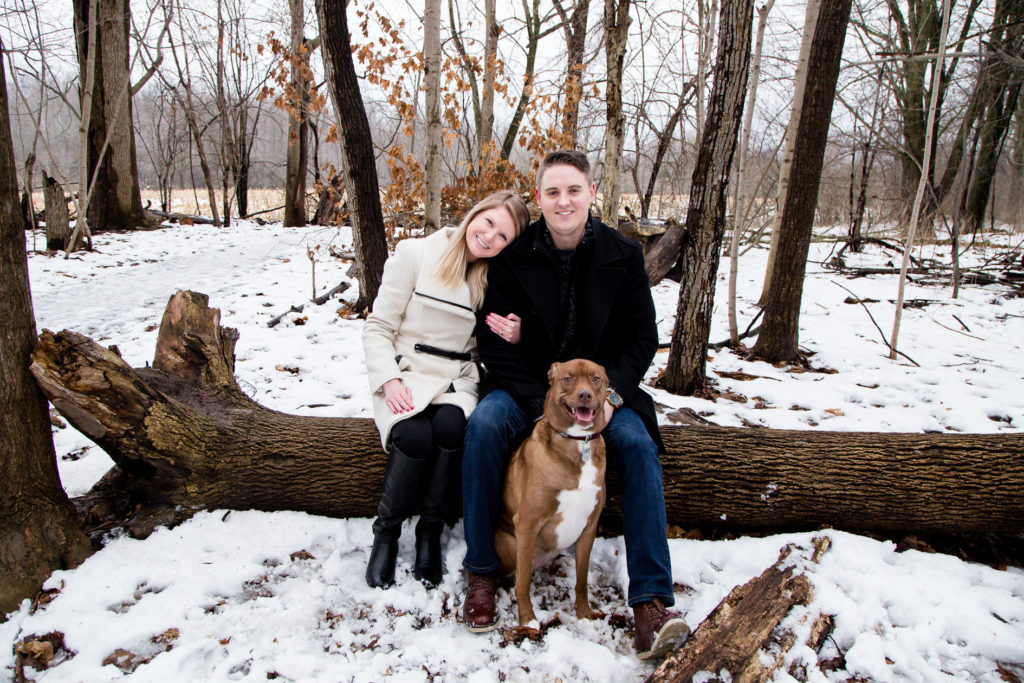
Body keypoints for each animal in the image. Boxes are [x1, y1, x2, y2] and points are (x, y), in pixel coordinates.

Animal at [495, 358, 606, 630]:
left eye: (595, 378)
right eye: (568, 378)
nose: (585, 394)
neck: (578, 442)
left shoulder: (589, 525)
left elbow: (582, 579)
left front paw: (584, 613)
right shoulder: (526, 523)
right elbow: (523, 581)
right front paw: (527, 619)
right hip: (509, 543)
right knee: (512, 573)